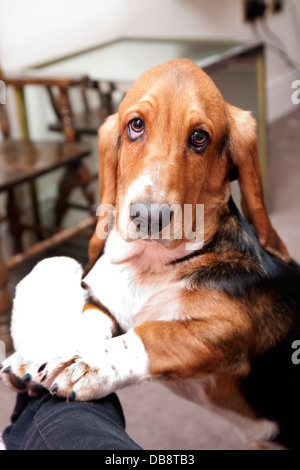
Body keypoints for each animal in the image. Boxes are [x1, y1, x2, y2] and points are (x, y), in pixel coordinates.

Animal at [1, 58, 300, 448]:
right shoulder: (103, 302)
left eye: (199, 137)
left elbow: (151, 334)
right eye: (136, 125)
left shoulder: (224, 332)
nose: (148, 216)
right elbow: (89, 318)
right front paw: (48, 351)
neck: (150, 264)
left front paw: (86, 366)